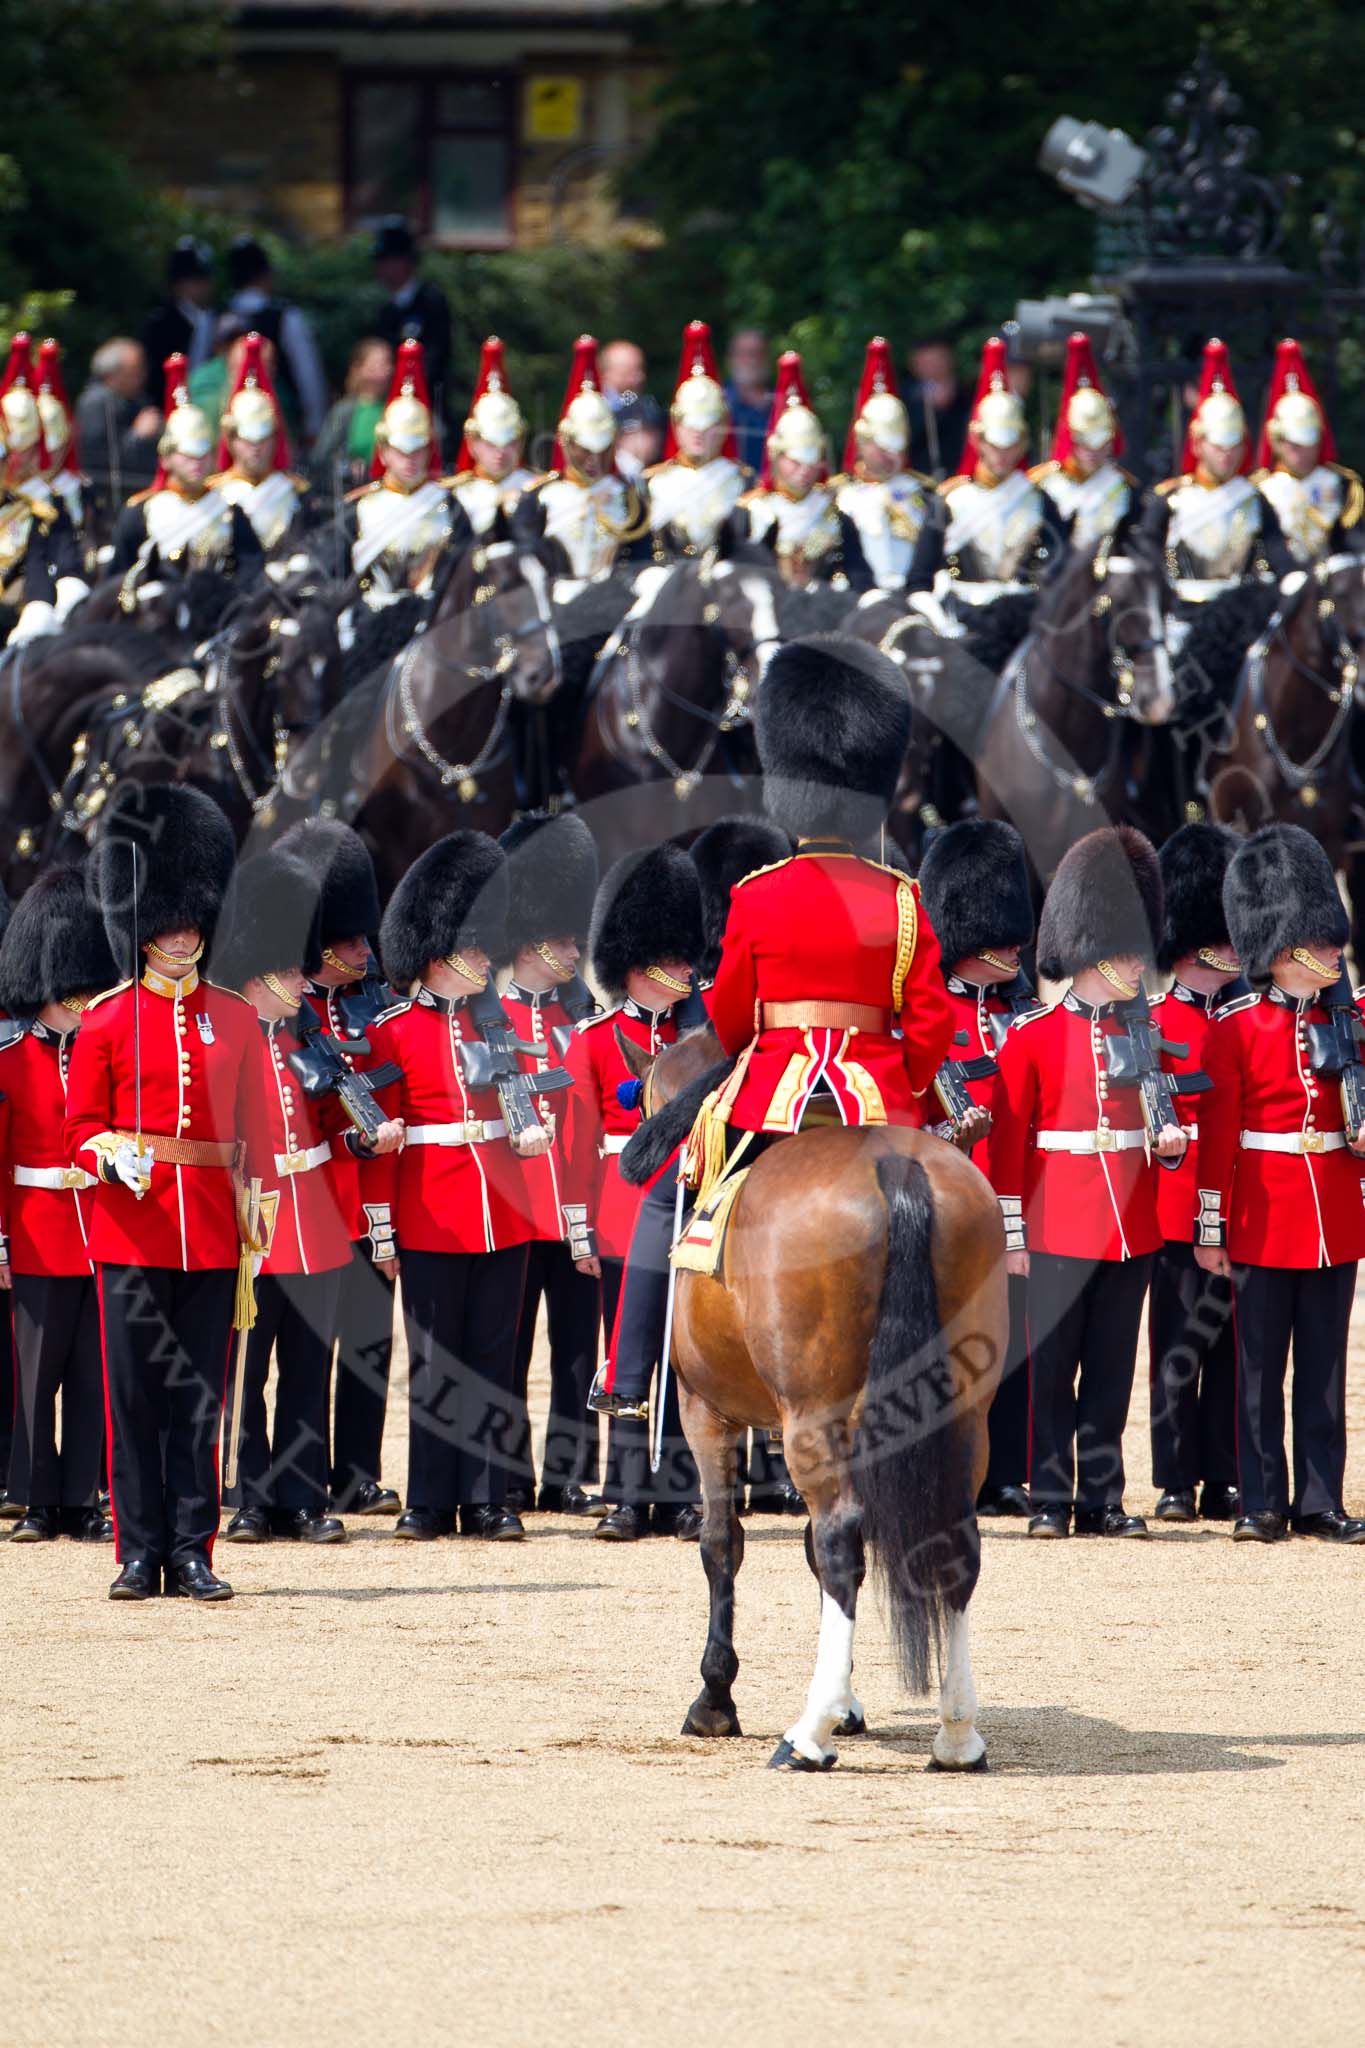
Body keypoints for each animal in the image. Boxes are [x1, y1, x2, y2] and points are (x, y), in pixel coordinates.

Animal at [618, 1032, 1002, 1769]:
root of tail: (892, 1168)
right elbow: (805, 1549)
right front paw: (850, 1700)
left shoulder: (705, 1412)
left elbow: (722, 1542)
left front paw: (716, 1698)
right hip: (962, 1416)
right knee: (952, 1541)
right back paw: (957, 1733)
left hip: (807, 1415)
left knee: (841, 1537)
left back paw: (808, 1735)